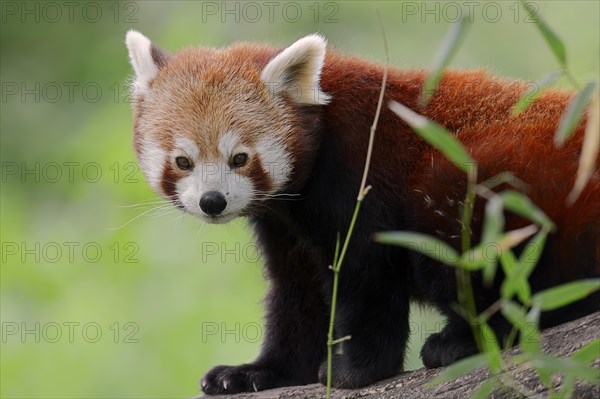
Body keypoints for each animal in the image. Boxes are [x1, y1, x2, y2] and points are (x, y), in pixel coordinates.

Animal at [124, 29, 596, 396]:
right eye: (182, 161)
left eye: (239, 158)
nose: (213, 201)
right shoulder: (285, 225)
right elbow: (299, 296)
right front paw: (256, 372)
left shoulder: (361, 171)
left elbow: (367, 276)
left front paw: (357, 370)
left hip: (494, 178)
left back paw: (464, 339)